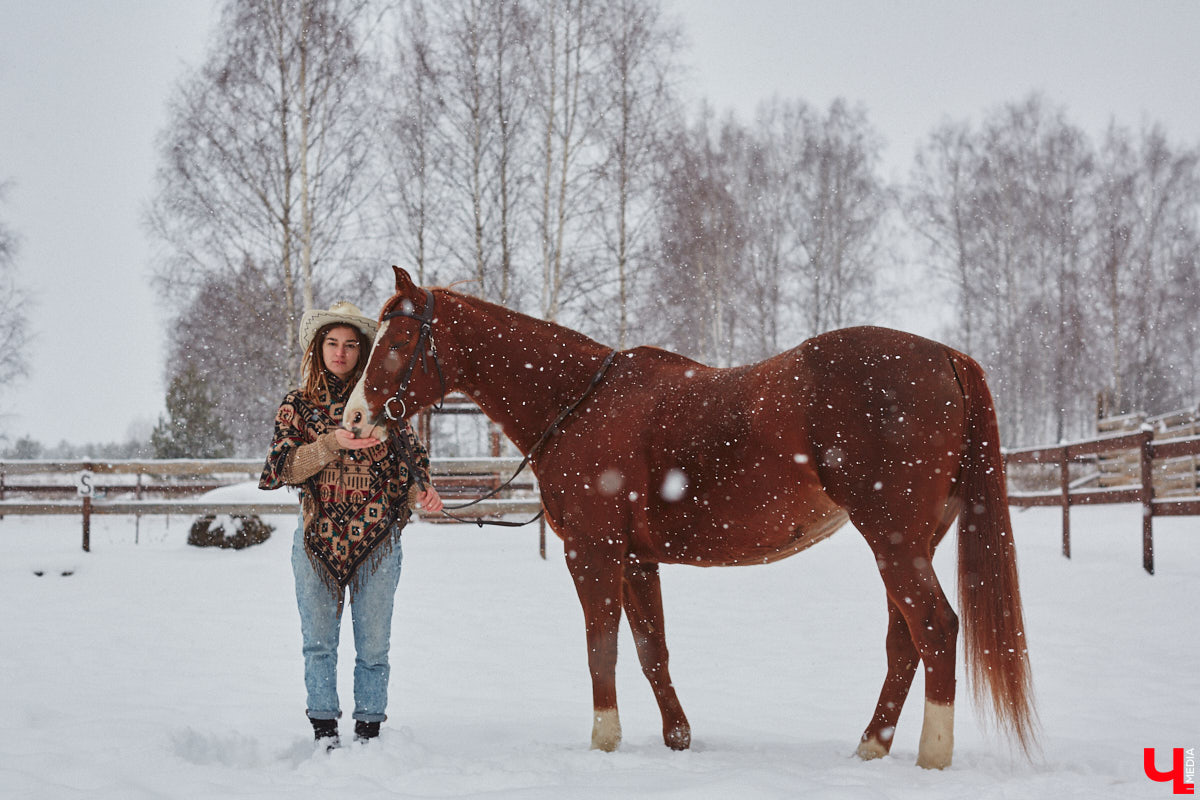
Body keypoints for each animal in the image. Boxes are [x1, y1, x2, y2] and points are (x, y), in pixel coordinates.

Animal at [345, 268, 1032, 767]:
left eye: (399, 342)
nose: (353, 419)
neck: (577, 401)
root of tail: (944, 357)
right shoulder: (636, 559)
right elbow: (653, 650)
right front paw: (678, 739)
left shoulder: (591, 552)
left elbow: (602, 647)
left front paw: (604, 742)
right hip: (912, 541)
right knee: (905, 640)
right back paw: (871, 746)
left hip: (893, 538)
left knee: (935, 628)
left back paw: (931, 756)